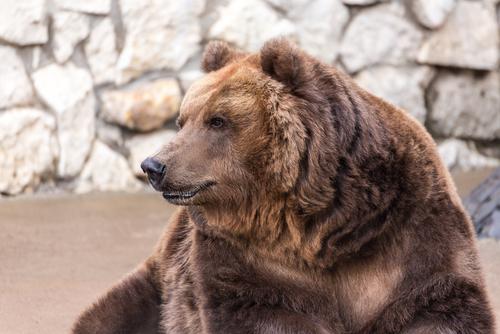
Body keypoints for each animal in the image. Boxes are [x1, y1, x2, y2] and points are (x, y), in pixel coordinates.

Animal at [72, 39, 494, 334]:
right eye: (183, 119)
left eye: (217, 120)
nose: (153, 165)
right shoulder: (250, 257)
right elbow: (262, 310)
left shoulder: (406, 231)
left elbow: (438, 303)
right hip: (157, 286)